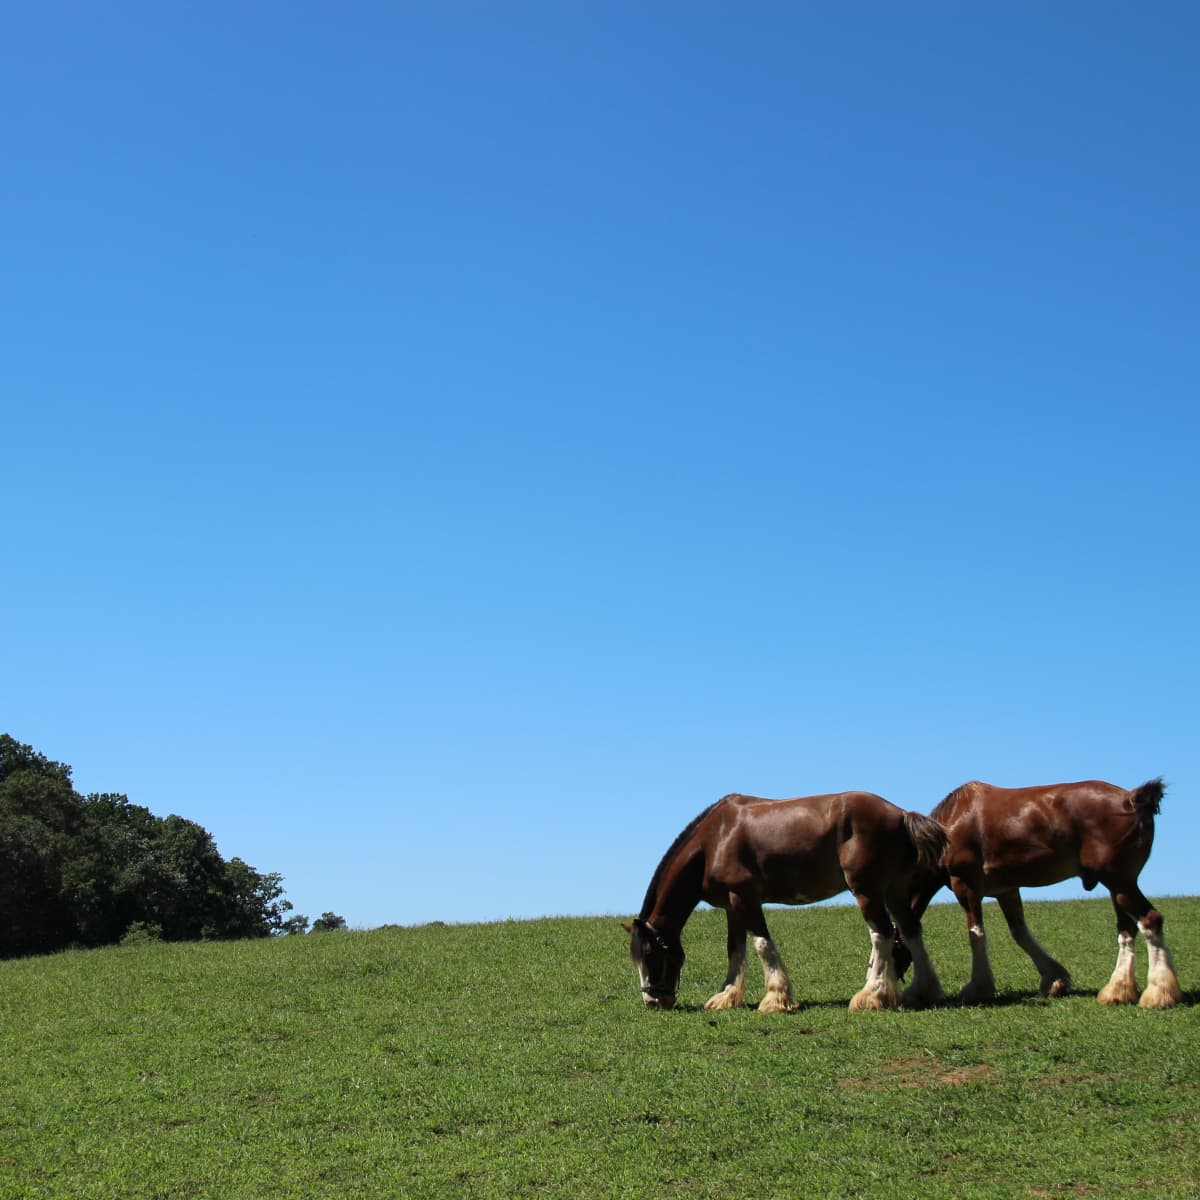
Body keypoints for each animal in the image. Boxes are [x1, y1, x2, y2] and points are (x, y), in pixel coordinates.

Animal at [624, 792, 950, 1017]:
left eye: (650, 953)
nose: (652, 1000)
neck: (715, 839)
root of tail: (901, 814)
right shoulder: (732, 907)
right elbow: (735, 949)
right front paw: (727, 996)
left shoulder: (745, 899)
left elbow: (761, 945)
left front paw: (776, 999)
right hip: (893, 890)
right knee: (909, 930)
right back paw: (922, 992)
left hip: (867, 890)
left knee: (882, 934)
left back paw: (871, 995)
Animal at [902, 772, 1180, 1008]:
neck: (949, 827)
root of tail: (1131, 798)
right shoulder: (1007, 890)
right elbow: (1020, 933)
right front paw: (1054, 978)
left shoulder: (966, 886)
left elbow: (976, 934)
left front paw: (977, 987)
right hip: (1117, 887)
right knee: (1127, 929)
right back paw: (1117, 990)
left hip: (1120, 882)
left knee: (1150, 920)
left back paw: (1158, 993)